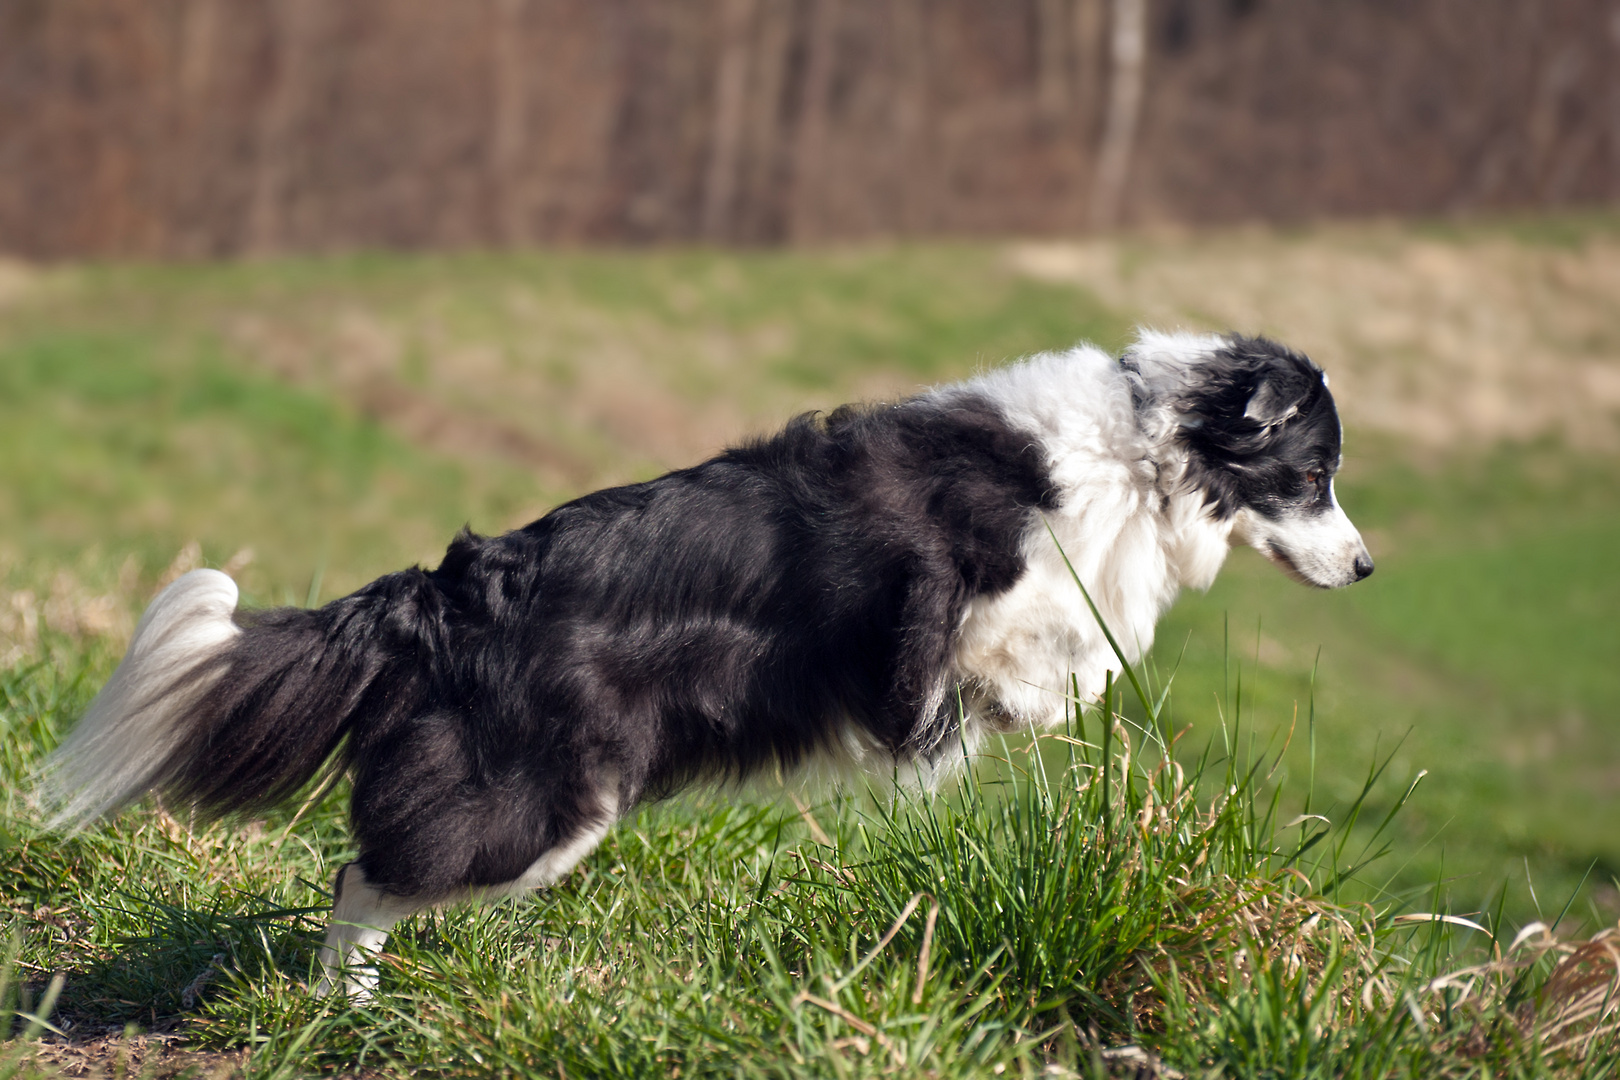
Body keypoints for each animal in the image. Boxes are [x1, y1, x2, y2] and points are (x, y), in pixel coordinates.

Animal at [41, 327, 1367, 997]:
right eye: (1310, 474)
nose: (1365, 570)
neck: (1146, 443)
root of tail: (442, 596)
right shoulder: (965, 591)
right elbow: (1020, 653)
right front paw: (1024, 698)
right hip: (541, 806)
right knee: (364, 880)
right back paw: (345, 1013)